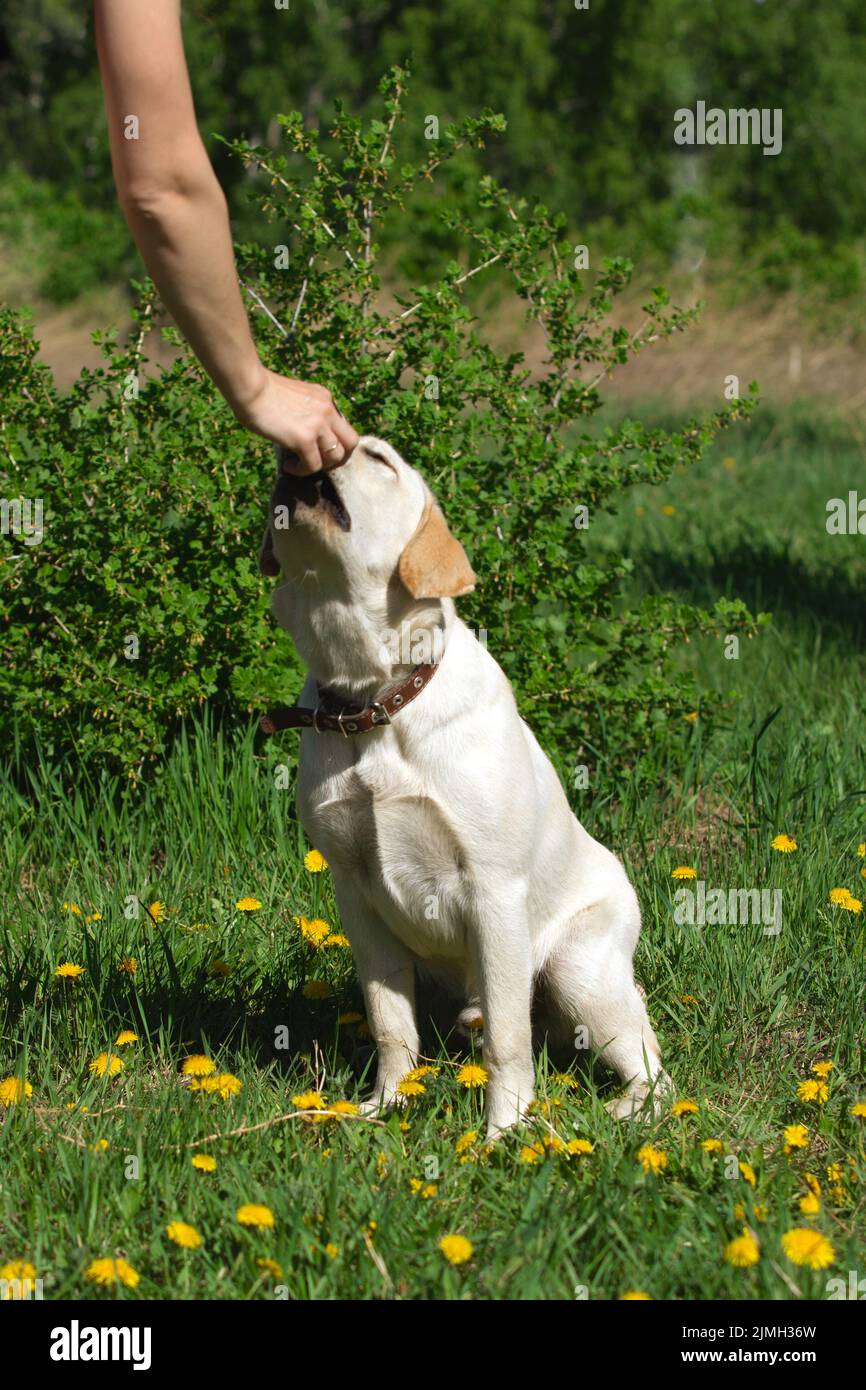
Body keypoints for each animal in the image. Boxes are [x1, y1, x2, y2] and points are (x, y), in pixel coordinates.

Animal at [261, 439, 667, 1134]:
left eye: (376, 458)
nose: (301, 450)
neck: (375, 701)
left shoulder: (493, 889)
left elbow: (508, 1040)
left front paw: (501, 1131)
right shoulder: (356, 896)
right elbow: (390, 1023)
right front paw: (387, 1105)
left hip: (577, 970)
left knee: (647, 1054)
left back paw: (630, 1108)